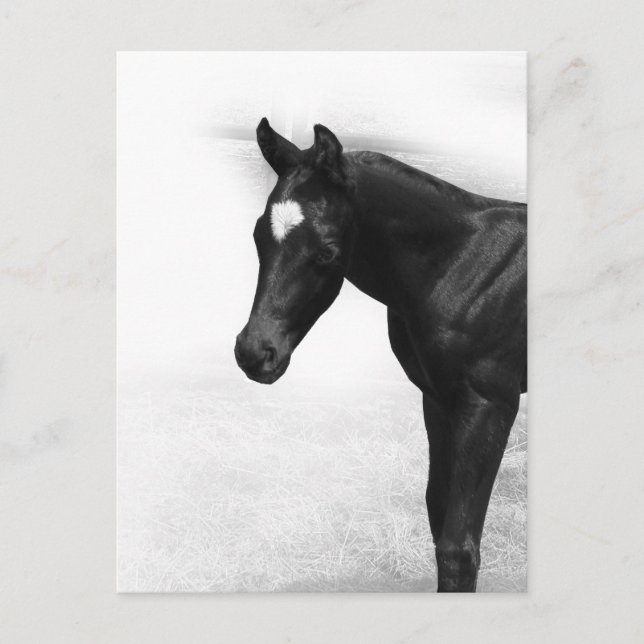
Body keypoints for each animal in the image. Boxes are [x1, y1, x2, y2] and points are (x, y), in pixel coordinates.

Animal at [234, 118, 527, 592]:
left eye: (327, 251)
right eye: (259, 234)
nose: (254, 352)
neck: (459, 265)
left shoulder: (491, 404)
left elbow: (458, 548)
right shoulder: (438, 398)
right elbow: (438, 515)